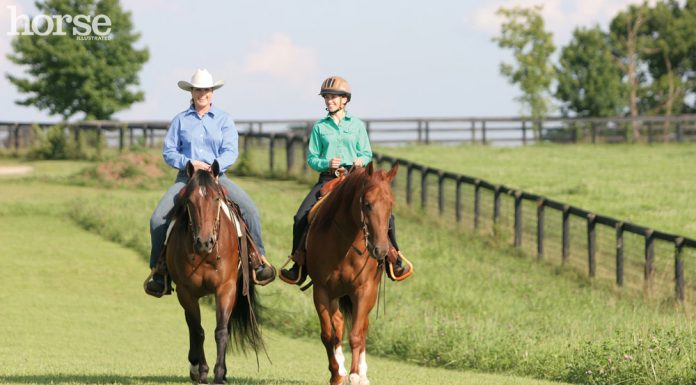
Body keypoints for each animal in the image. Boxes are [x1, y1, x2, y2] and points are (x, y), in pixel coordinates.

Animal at [166, 160, 264, 384]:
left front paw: (219, 374)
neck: (206, 254)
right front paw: (201, 371)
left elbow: (221, 331)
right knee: (191, 327)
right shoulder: (186, 292)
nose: (204, 241)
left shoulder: (226, 288)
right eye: (190, 201)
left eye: (216, 198)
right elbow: (197, 331)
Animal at [308, 161, 400, 384]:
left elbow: (357, 334)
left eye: (390, 205)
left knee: (362, 328)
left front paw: (356, 374)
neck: (346, 245)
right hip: (335, 295)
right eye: (367, 204)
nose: (381, 250)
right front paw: (336, 374)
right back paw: (341, 368)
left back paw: (362, 373)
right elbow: (328, 334)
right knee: (339, 325)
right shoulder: (321, 291)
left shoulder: (364, 291)